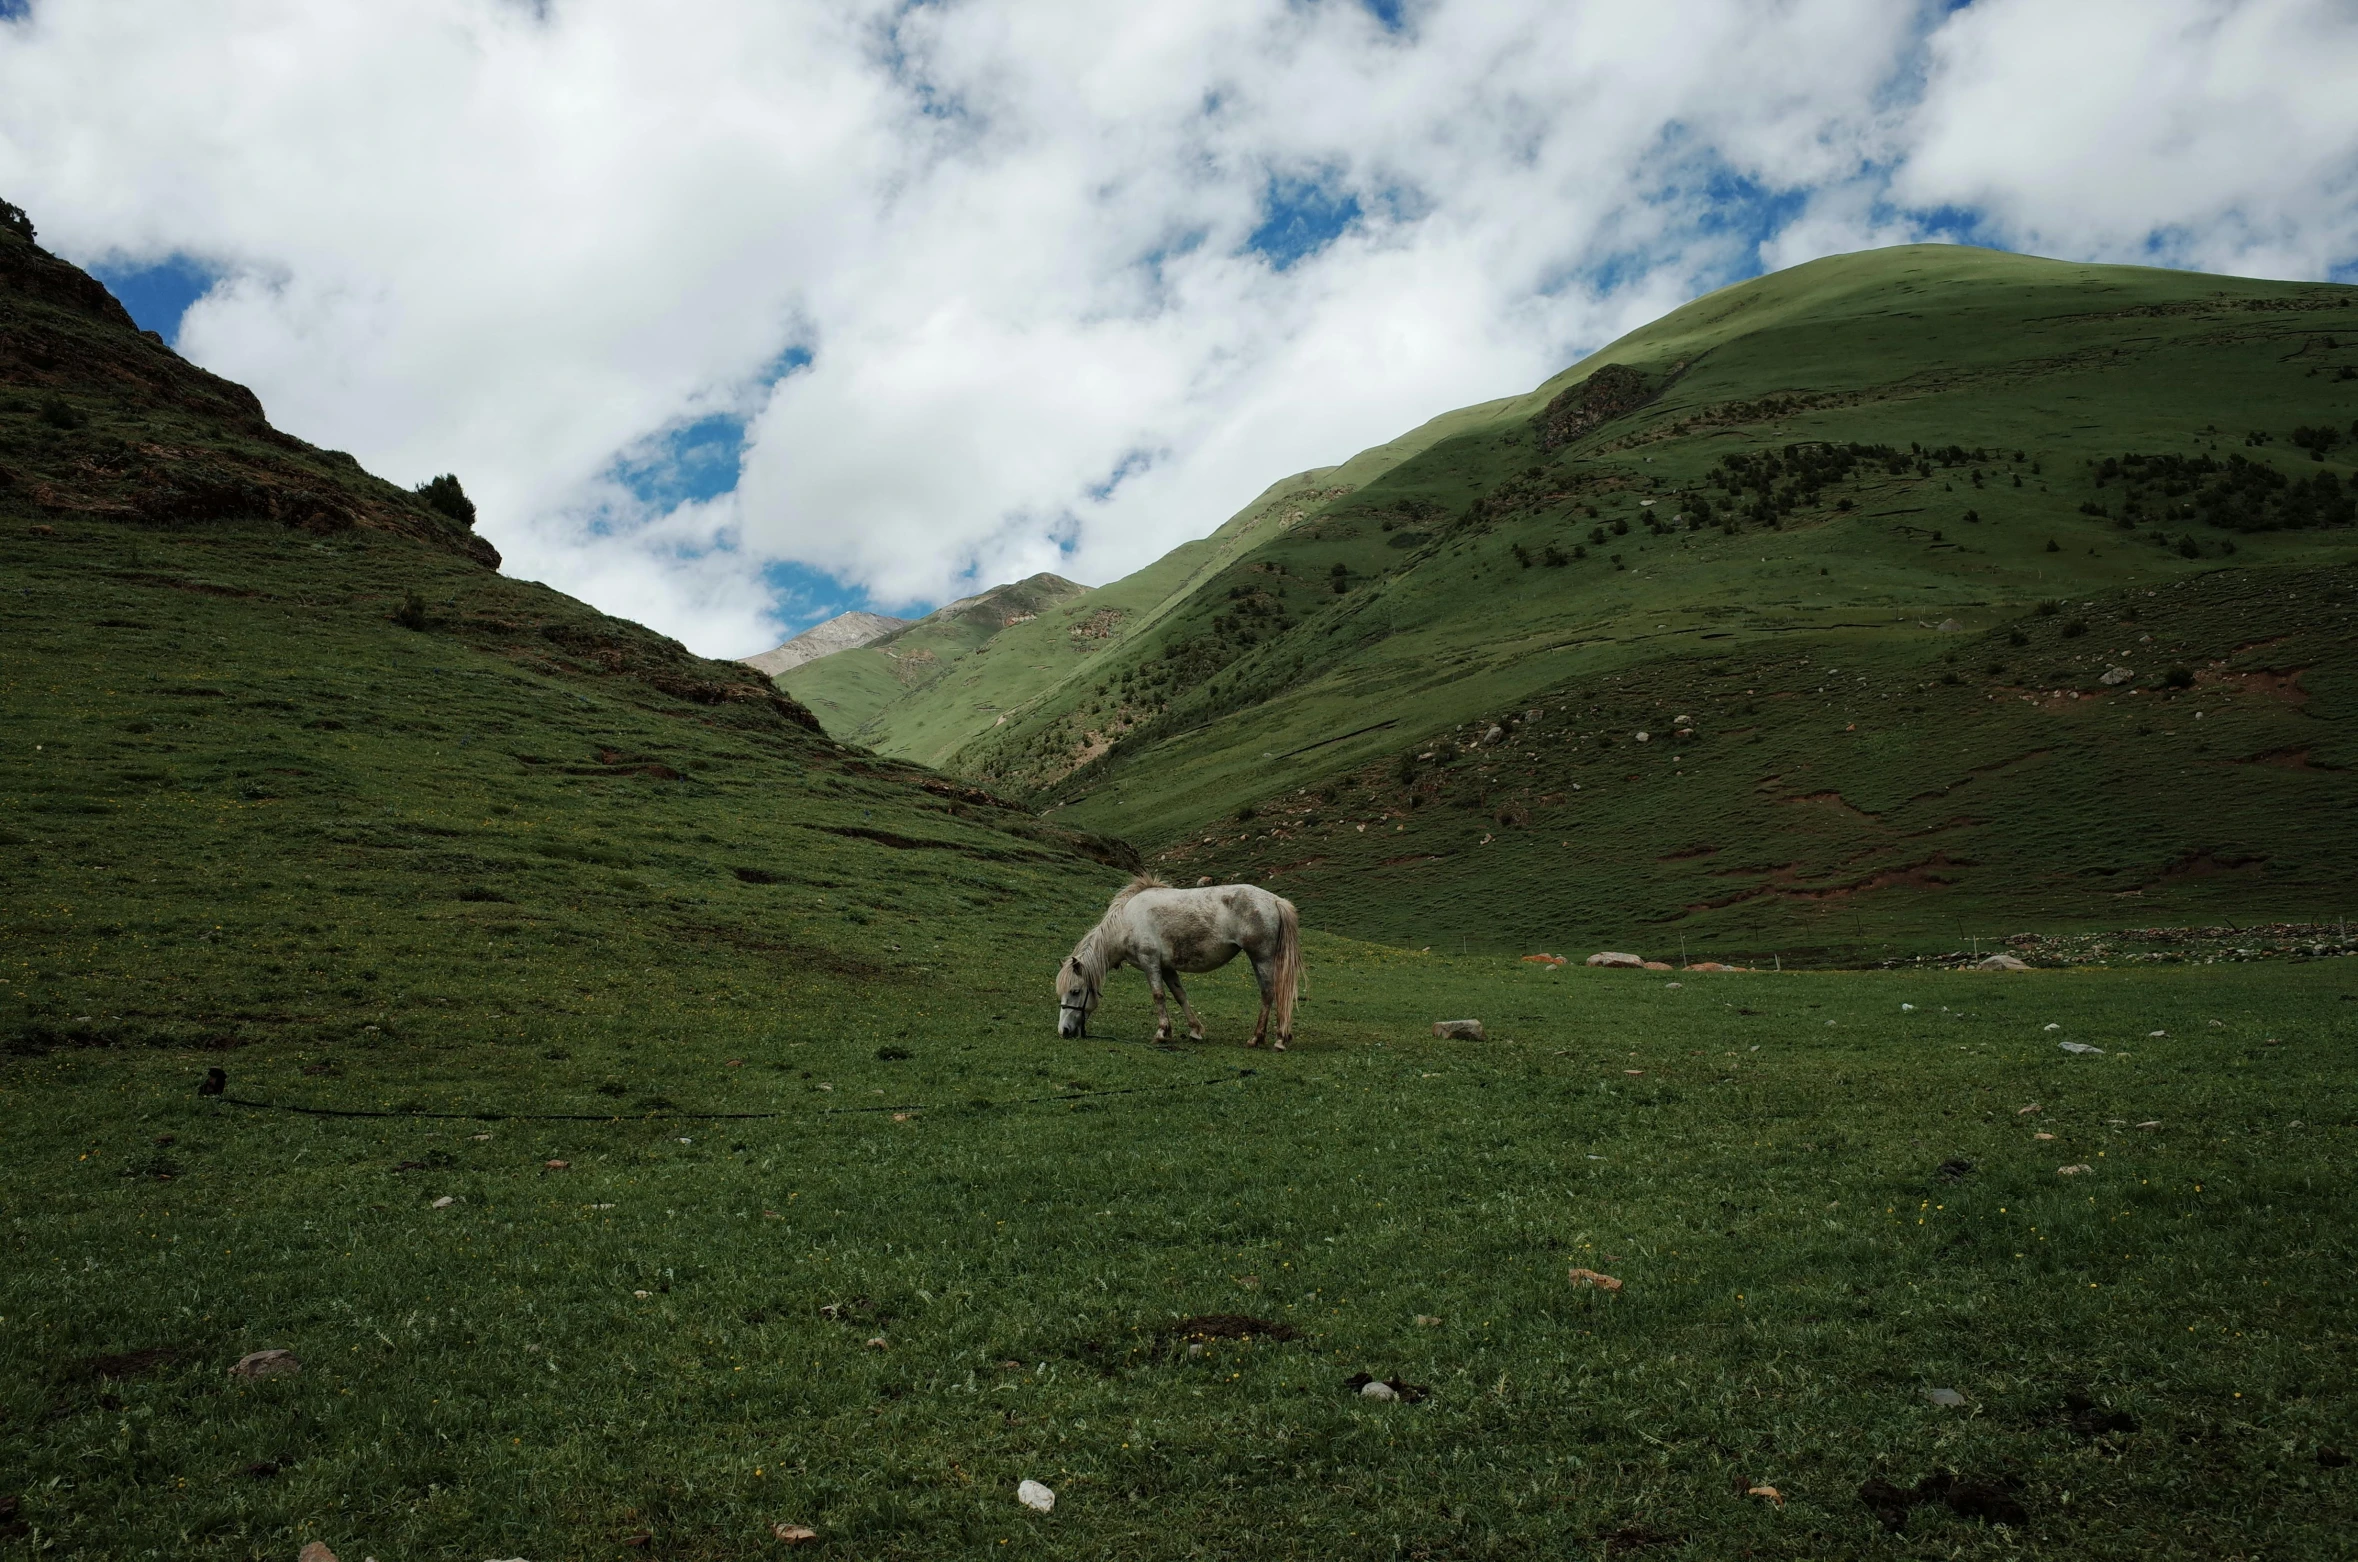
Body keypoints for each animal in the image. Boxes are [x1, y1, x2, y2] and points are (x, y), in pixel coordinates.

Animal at [1056, 882, 1311, 1052]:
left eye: (1075, 991)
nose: (1064, 1031)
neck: (1126, 921)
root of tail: (1276, 901)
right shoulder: (1167, 967)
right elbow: (1180, 995)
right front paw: (1195, 1030)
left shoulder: (1150, 963)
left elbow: (1158, 996)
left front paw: (1161, 1033)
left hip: (1261, 958)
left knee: (1269, 993)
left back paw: (1269, 1039)